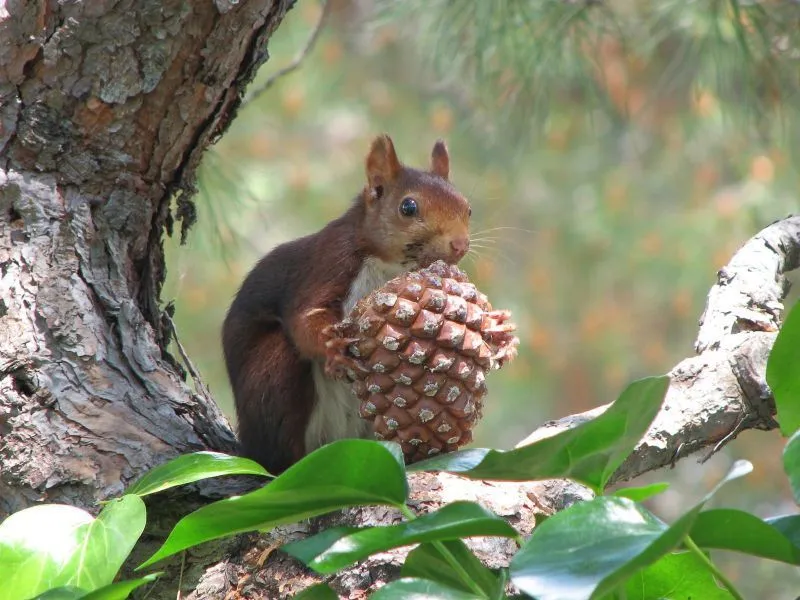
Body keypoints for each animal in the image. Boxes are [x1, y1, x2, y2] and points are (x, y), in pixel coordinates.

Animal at [221, 134, 471, 474]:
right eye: (408, 207)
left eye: (468, 208)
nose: (459, 245)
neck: (391, 265)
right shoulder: (327, 262)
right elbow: (305, 316)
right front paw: (333, 347)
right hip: (272, 377)